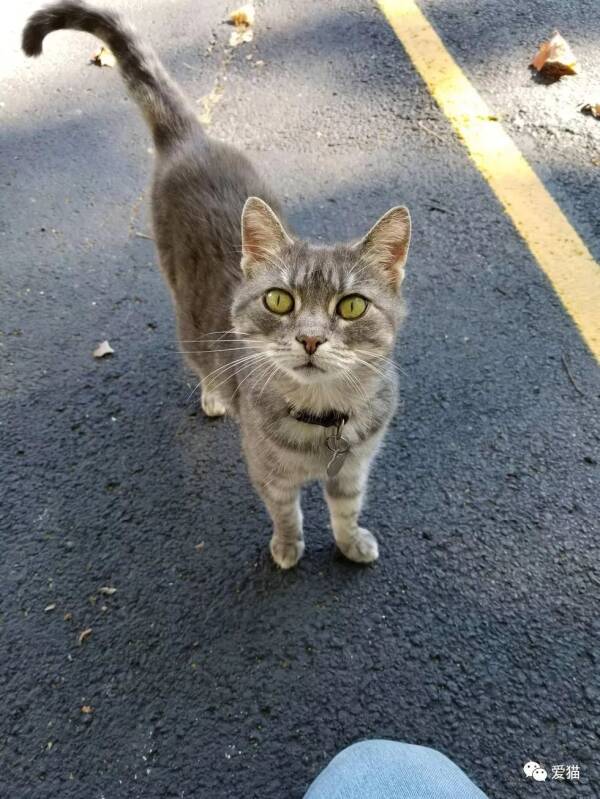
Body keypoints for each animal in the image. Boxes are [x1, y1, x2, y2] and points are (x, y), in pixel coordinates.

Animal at [22, 3, 408, 572]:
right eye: (279, 300)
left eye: (353, 307)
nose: (311, 339)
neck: (323, 421)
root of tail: (192, 139)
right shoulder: (269, 473)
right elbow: (286, 513)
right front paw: (288, 548)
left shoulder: (355, 468)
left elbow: (346, 510)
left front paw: (350, 542)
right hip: (187, 314)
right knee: (200, 358)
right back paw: (212, 393)